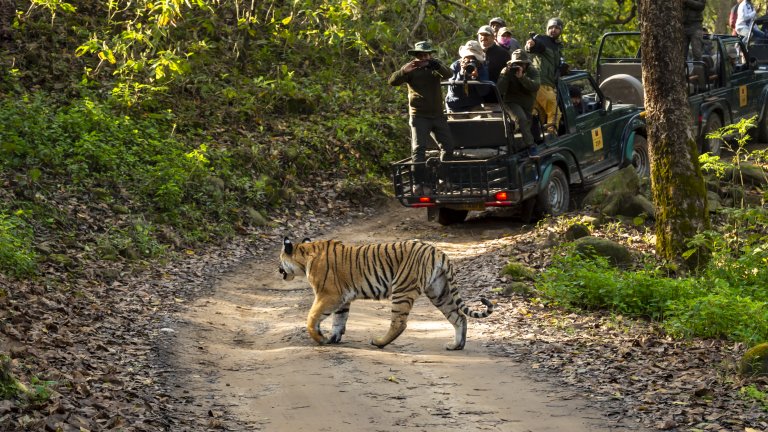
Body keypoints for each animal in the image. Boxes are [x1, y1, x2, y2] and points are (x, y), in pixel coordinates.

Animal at [280, 236, 496, 352]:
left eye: (280, 259)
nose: (278, 269)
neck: (304, 255)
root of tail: (438, 251)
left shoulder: (329, 295)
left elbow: (312, 317)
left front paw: (321, 339)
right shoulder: (343, 299)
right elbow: (339, 320)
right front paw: (333, 337)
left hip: (402, 289)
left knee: (399, 323)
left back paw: (379, 342)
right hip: (439, 291)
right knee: (458, 317)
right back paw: (456, 345)